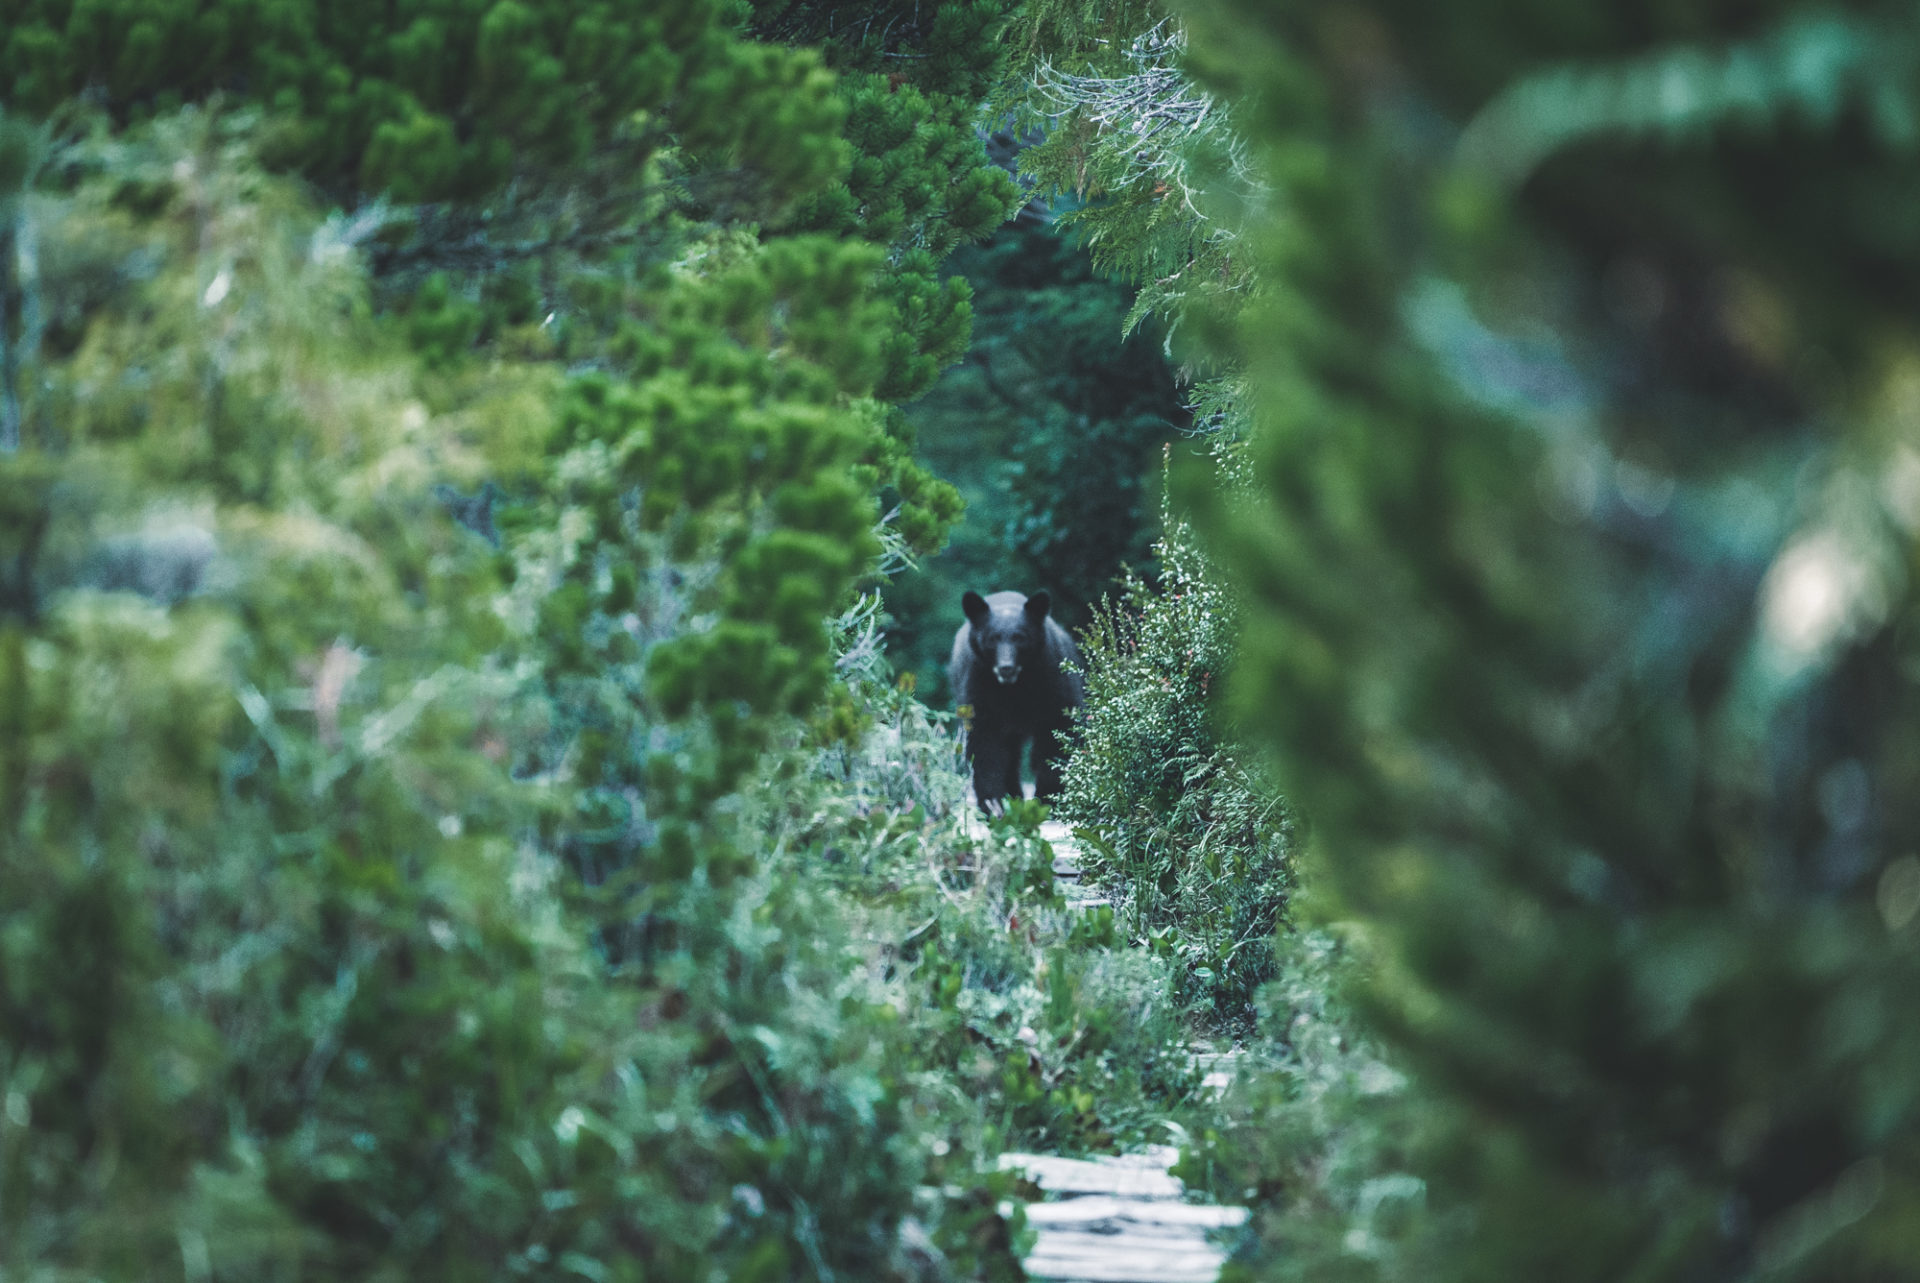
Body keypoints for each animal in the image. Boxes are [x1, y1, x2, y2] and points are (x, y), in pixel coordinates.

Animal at [952, 587, 1090, 806]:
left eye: (1020, 637)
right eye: (992, 638)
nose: (1005, 667)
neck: (1015, 687)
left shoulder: (1051, 677)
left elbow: (1058, 729)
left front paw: (1048, 796)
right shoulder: (978, 683)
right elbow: (984, 744)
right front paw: (993, 802)